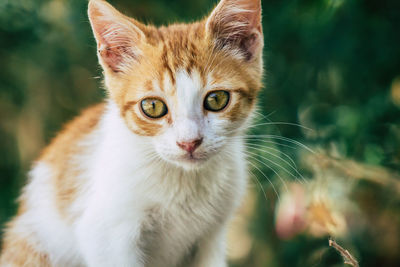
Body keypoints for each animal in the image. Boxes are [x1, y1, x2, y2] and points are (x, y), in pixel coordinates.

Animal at [0, 0, 264, 266]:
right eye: (152, 107)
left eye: (217, 99)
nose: (189, 142)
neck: (183, 178)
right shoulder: (106, 235)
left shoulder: (212, 239)